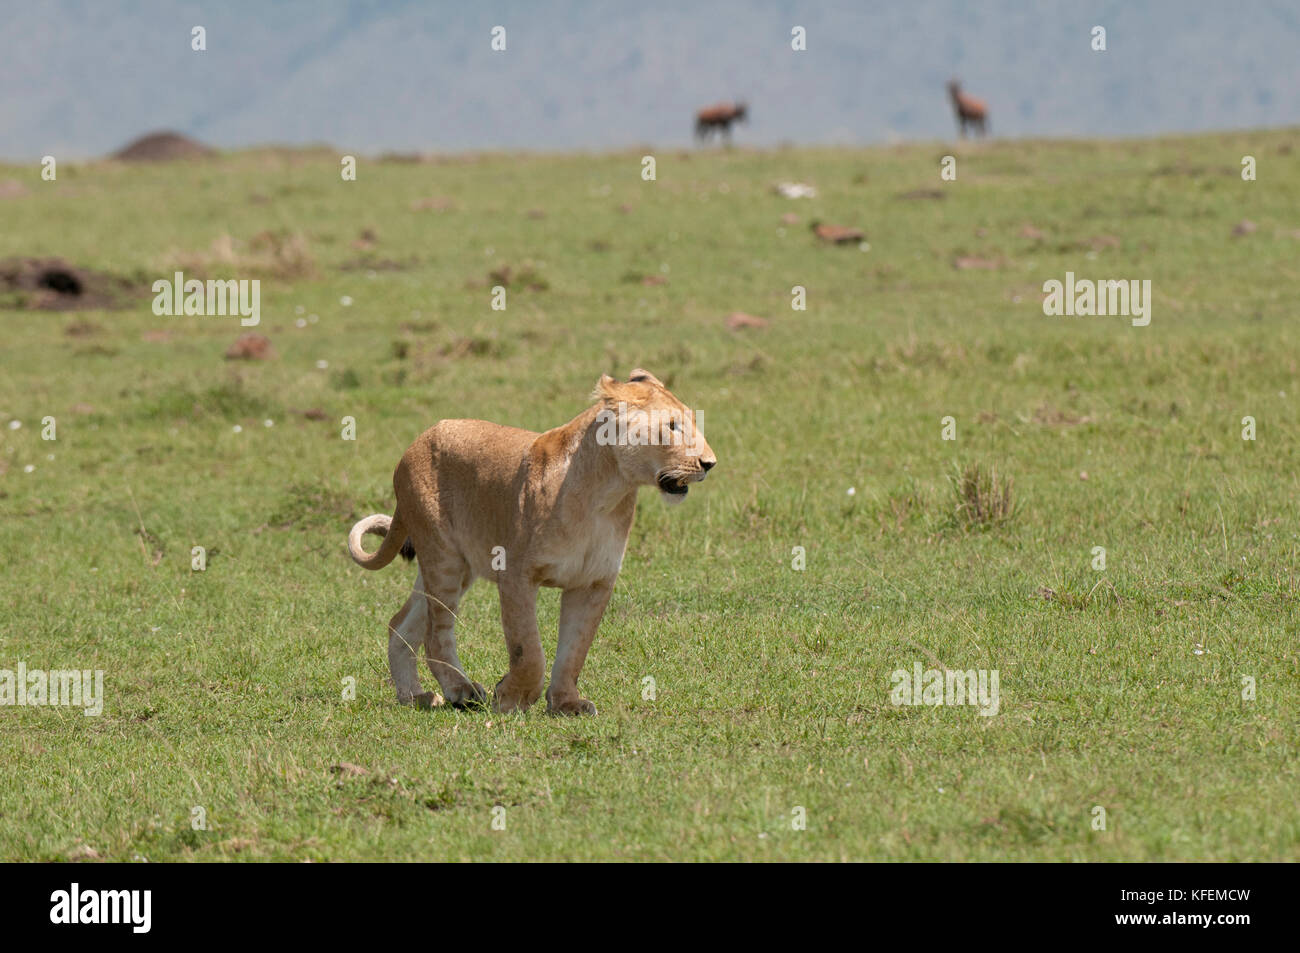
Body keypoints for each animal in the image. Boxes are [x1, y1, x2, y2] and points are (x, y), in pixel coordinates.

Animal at [346, 369, 717, 715]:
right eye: (672, 426)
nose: (710, 464)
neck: (607, 494)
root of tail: (419, 440)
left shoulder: (594, 582)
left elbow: (575, 650)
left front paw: (566, 703)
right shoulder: (515, 573)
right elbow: (528, 648)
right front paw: (512, 698)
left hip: (455, 566)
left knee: (400, 624)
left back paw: (415, 697)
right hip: (444, 557)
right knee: (435, 634)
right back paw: (462, 691)